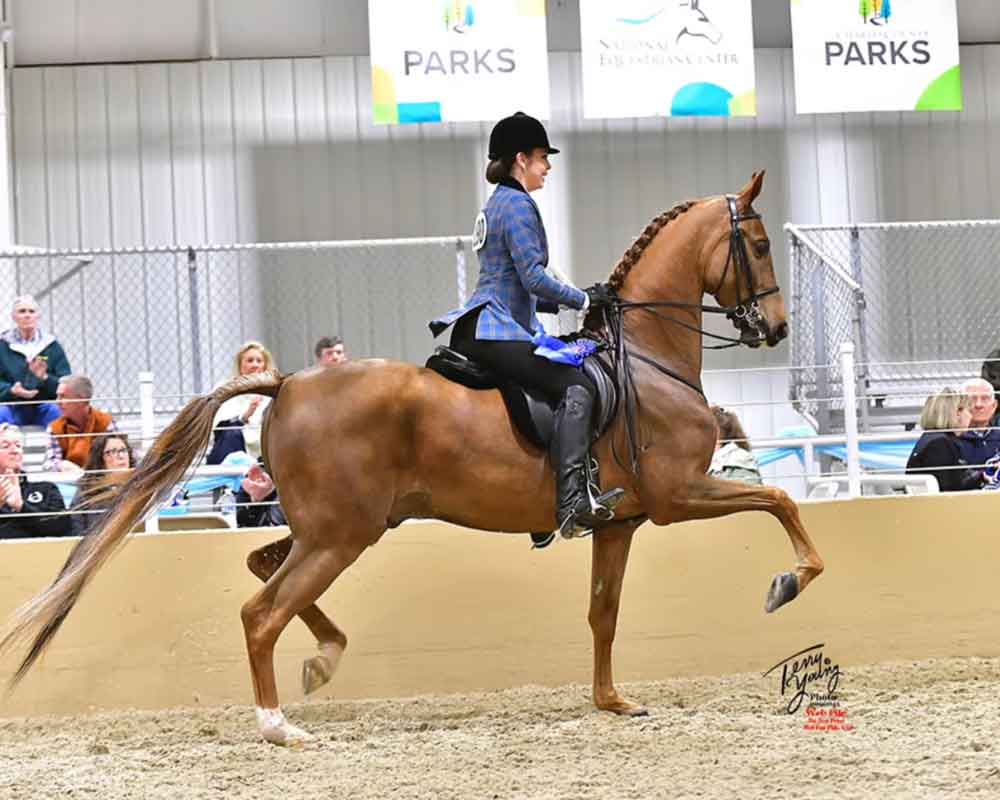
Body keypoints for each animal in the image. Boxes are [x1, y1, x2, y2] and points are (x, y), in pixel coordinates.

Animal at [0, 171, 824, 745]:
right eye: (756, 246)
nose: (777, 327)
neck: (646, 361)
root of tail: (287, 380)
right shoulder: (679, 495)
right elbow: (782, 502)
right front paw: (787, 583)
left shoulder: (619, 523)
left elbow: (603, 613)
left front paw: (612, 701)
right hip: (342, 535)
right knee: (261, 612)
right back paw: (277, 724)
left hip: (330, 527)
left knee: (263, 569)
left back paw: (324, 658)